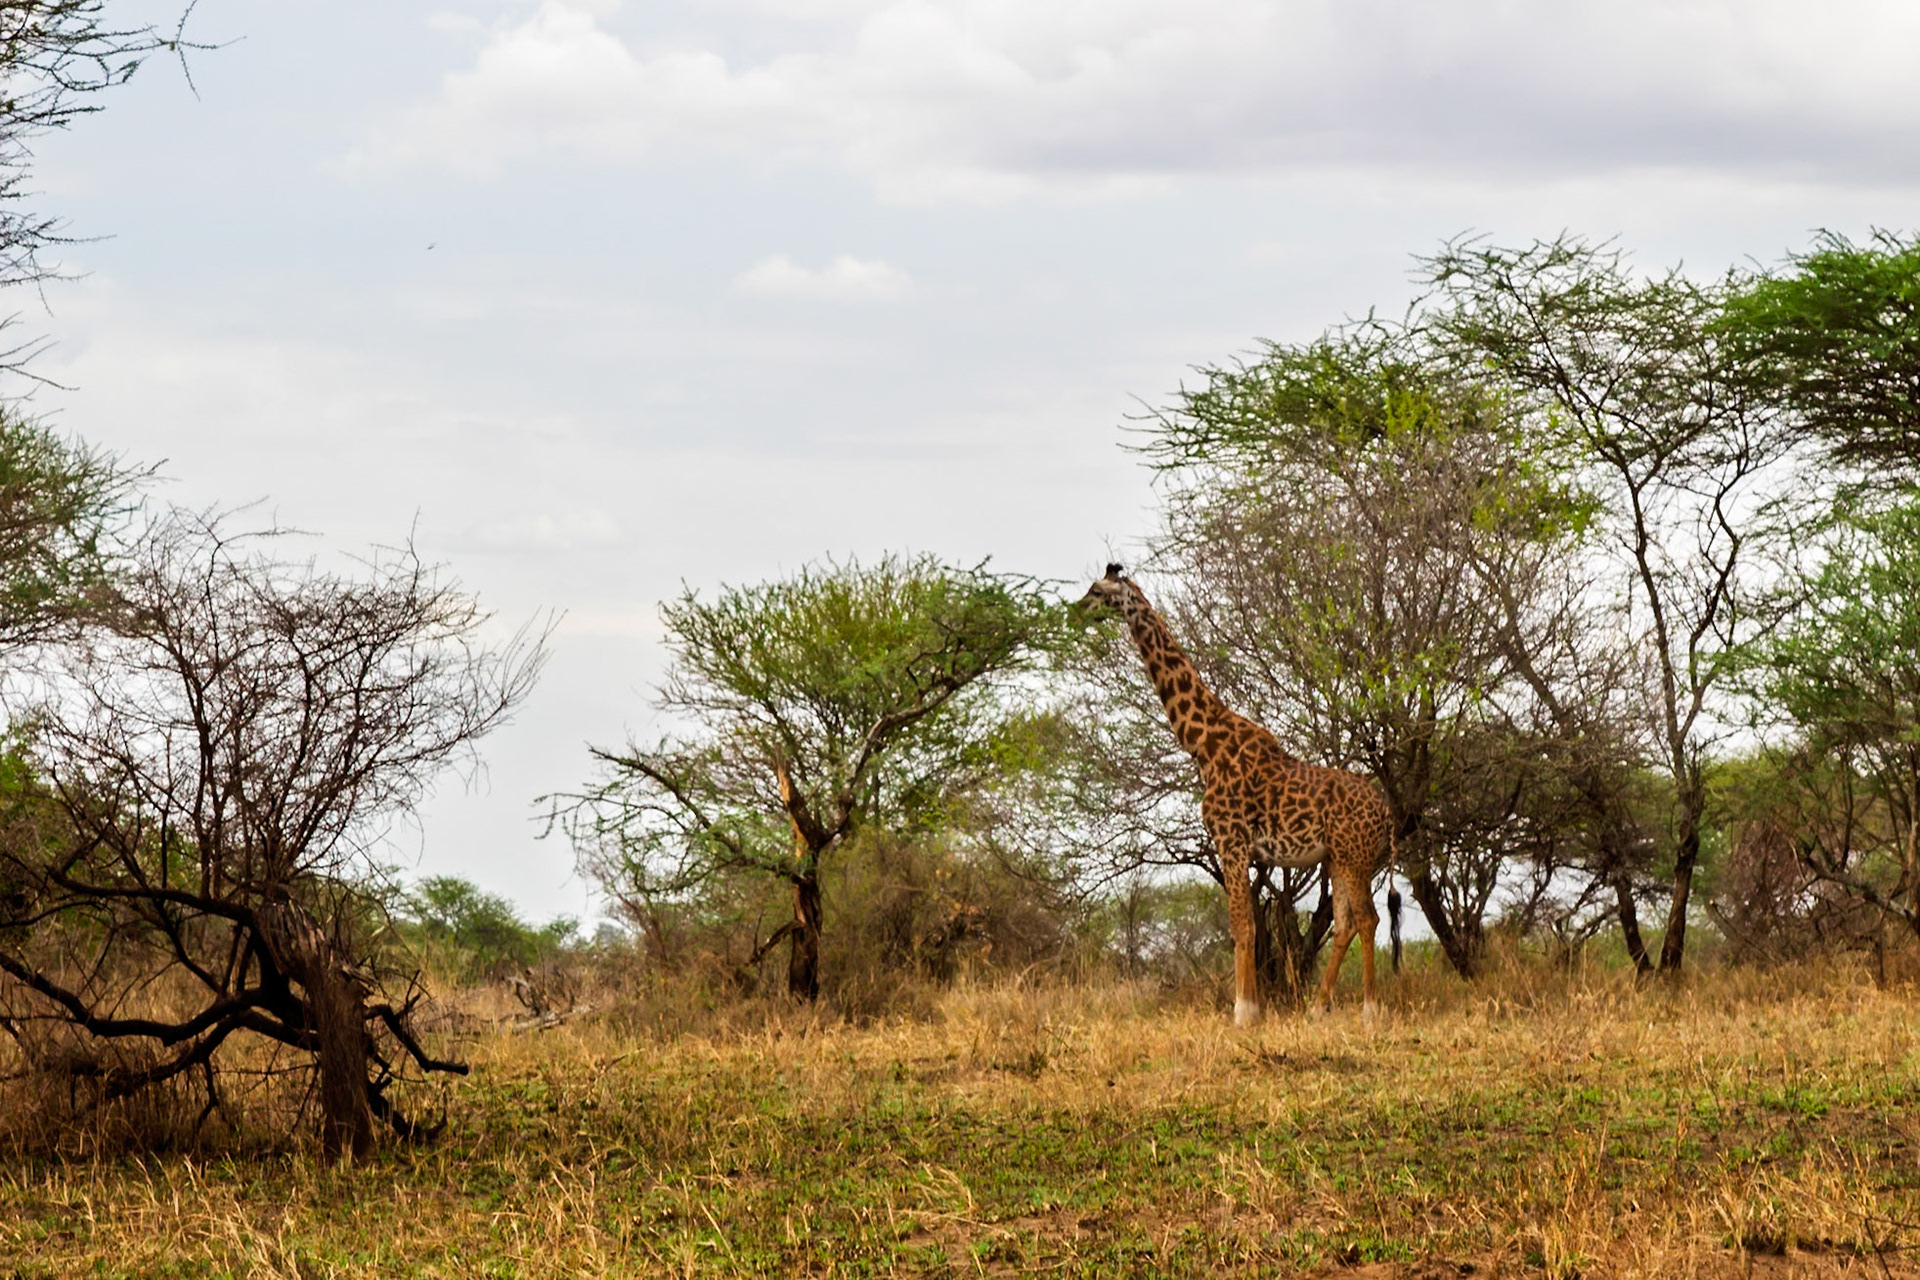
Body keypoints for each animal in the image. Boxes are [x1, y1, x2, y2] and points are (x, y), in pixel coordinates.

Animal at [1079, 564, 1395, 1025]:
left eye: (1096, 591)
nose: (1075, 611)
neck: (1202, 743)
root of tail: (1387, 815)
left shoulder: (1229, 839)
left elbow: (1242, 927)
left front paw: (1244, 1012)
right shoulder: (1241, 846)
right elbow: (1248, 927)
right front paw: (1253, 1008)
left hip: (1354, 856)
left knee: (1368, 920)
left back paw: (1371, 1010)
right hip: (1338, 857)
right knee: (1346, 923)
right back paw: (1318, 1008)